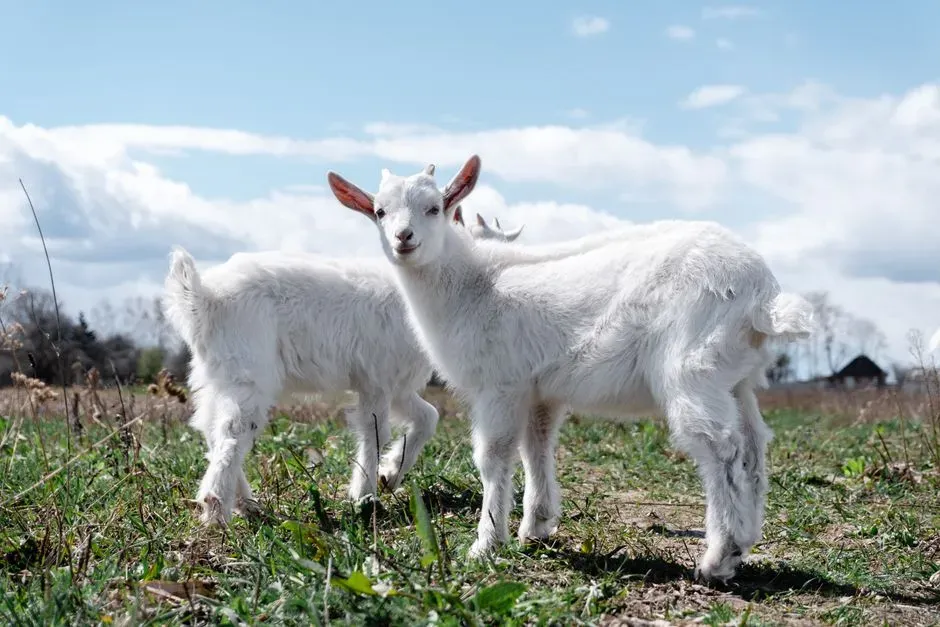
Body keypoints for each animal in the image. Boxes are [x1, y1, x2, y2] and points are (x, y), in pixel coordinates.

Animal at [162, 200, 524, 526]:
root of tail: (204, 296)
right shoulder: (378, 380)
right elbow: (375, 431)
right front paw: (364, 497)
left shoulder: (397, 385)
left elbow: (428, 417)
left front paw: (389, 476)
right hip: (248, 372)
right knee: (232, 433)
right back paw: (217, 509)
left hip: (215, 376)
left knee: (210, 429)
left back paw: (244, 503)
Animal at [325, 156, 816, 583]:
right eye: (379, 211)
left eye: (435, 207)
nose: (404, 238)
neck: (473, 285)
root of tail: (762, 294)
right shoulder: (540, 389)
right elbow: (536, 447)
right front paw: (536, 527)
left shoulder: (499, 384)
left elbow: (494, 455)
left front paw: (486, 543)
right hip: (736, 377)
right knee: (752, 445)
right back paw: (745, 542)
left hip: (692, 367)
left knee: (721, 447)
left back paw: (719, 558)